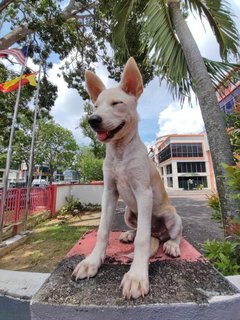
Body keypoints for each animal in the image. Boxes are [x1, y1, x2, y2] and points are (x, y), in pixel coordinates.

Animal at [72, 57, 183, 300]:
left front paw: (137, 276)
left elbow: (142, 240)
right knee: (139, 229)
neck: (120, 152)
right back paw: (128, 234)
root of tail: (158, 234)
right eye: (96, 106)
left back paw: (171, 245)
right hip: (129, 214)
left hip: (172, 216)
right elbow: (103, 230)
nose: (93, 120)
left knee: (172, 234)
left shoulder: (143, 192)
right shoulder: (109, 192)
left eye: (116, 103)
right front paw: (92, 262)